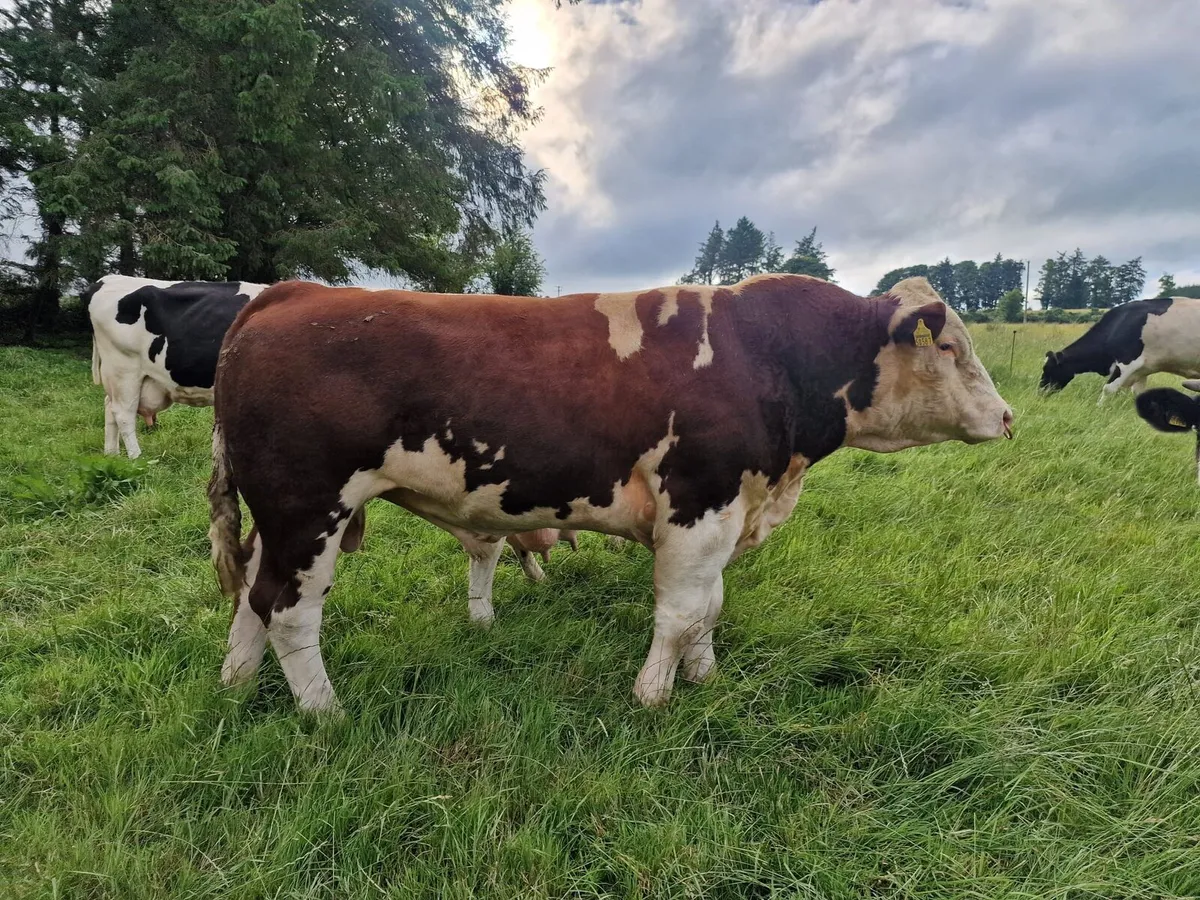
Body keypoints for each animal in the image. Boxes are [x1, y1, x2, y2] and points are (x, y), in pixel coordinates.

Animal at [87, 275, 268, 458]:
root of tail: (107, 279)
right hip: (123, 370)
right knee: (123, 414)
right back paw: (136, 458)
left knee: (109, 407)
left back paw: (112, 455)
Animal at [208, 274, 1013, 714]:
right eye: (948, 346)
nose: (1008, 418)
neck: (770, 354)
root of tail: (287, 293)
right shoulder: (699, 500)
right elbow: (682, 611)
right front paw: (654, 694)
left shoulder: (727, 510)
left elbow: (710, 607)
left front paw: (706, 677)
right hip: (309, 506)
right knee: (288, 609)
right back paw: (326, 714)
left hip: (278, 515)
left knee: (252, 592)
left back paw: (237, 686)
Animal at [1040, 297, 1200, 404]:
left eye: (1047, 369)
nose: (1040, 391)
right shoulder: (1144, 368)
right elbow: (1138, 392)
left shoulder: (1128, 362)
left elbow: (1108, 388)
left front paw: (1099, 408)